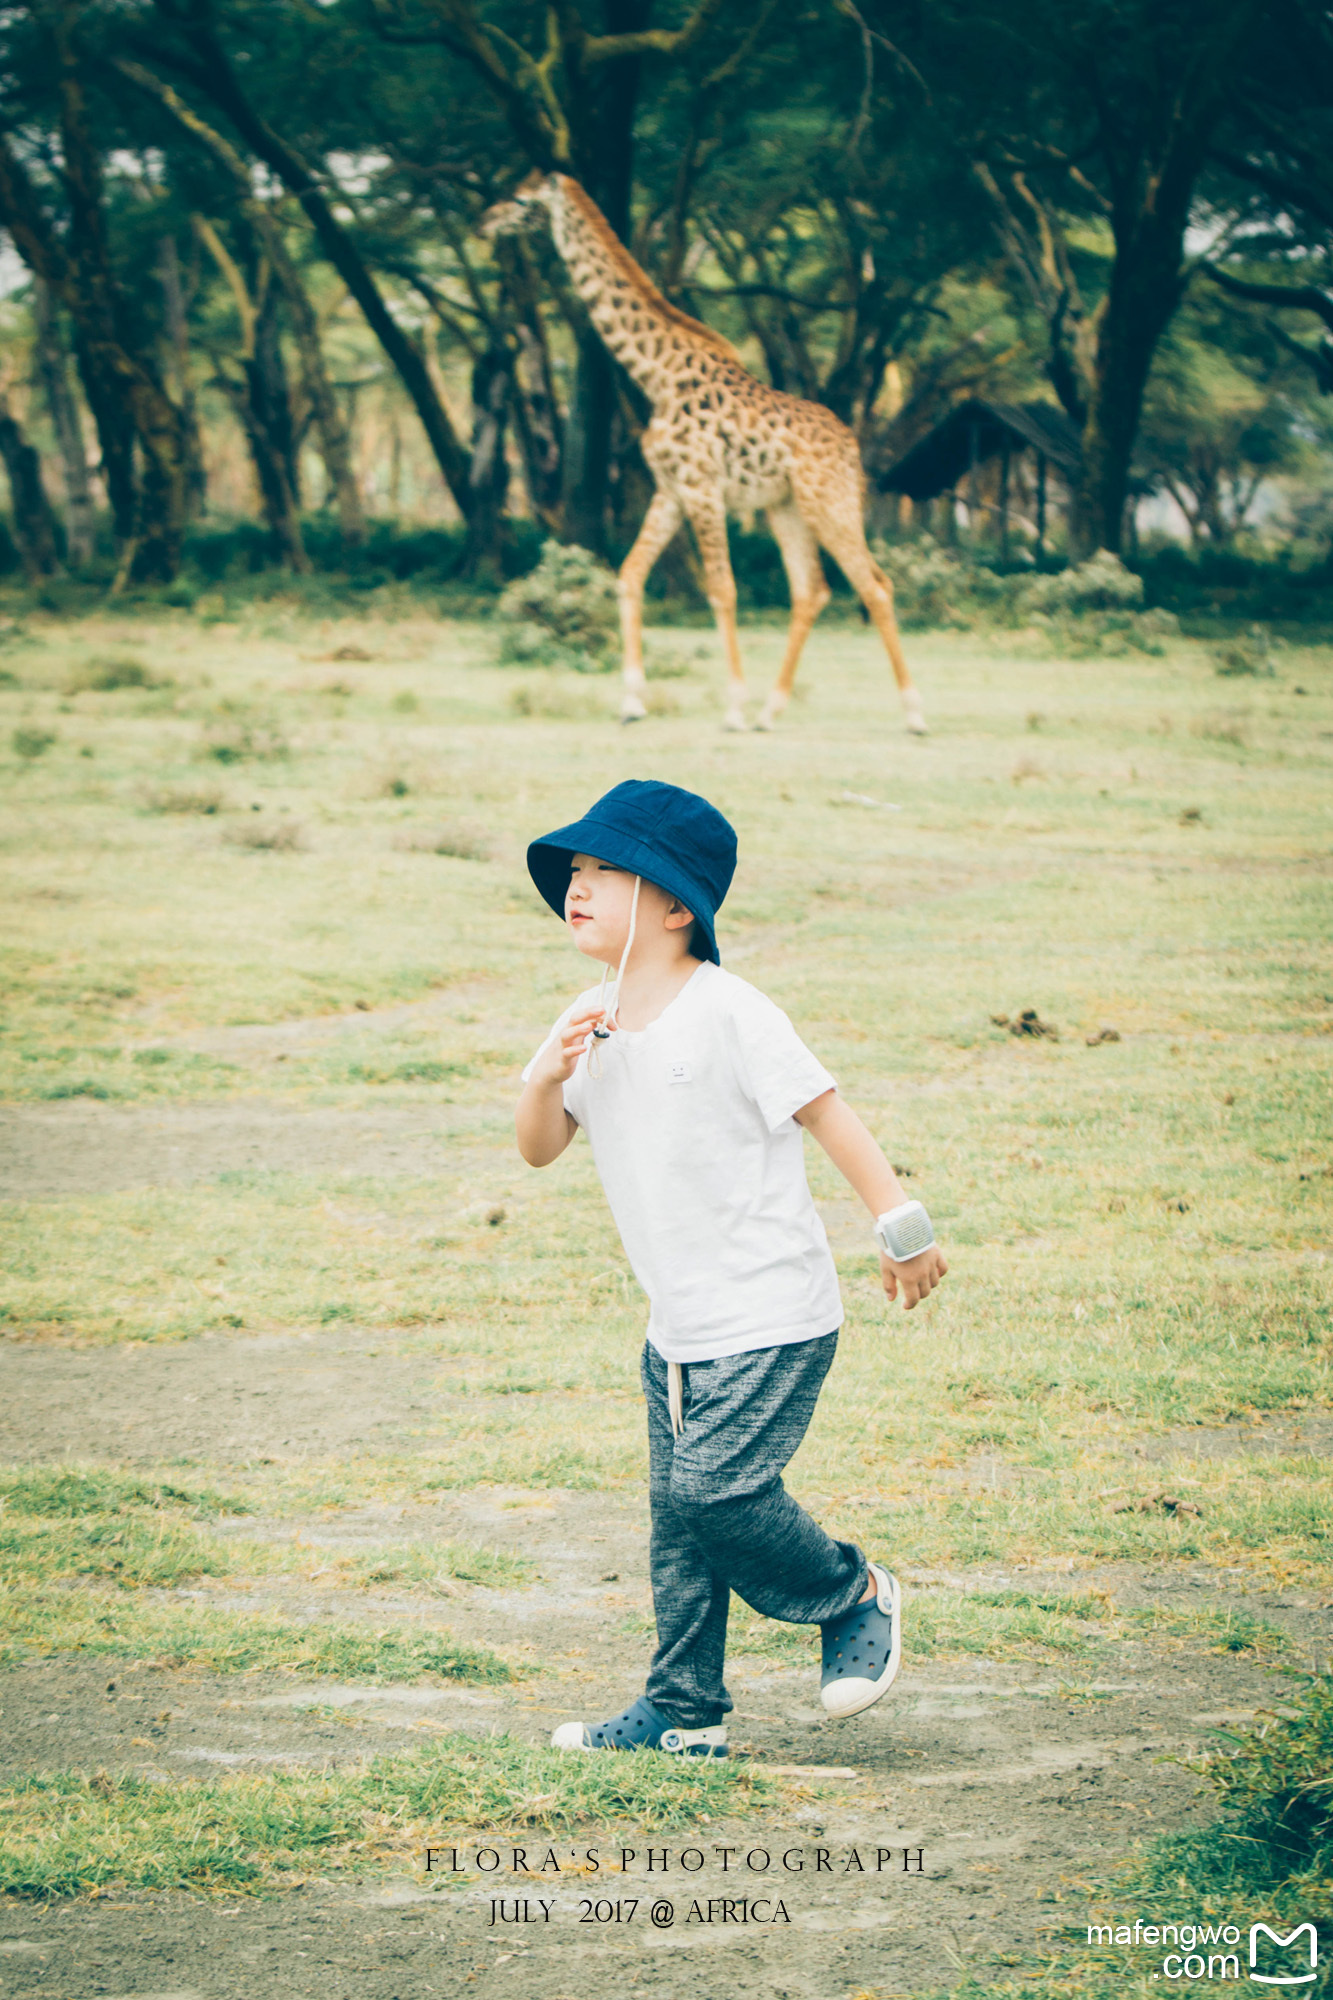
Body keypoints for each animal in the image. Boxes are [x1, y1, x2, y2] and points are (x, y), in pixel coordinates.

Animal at [480, 172, 924, 736]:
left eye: (521, 199)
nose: (485, 221)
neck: (655, 374)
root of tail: (852, 445)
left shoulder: (702, 487)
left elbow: (721, 589)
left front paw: (732, 707)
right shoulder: (670, 490)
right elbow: (629, 575)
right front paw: (632, 701)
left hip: (831, 502)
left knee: (876, 585)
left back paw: (913, 712)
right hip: (786, 507)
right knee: (812, 590)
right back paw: (771, 710)